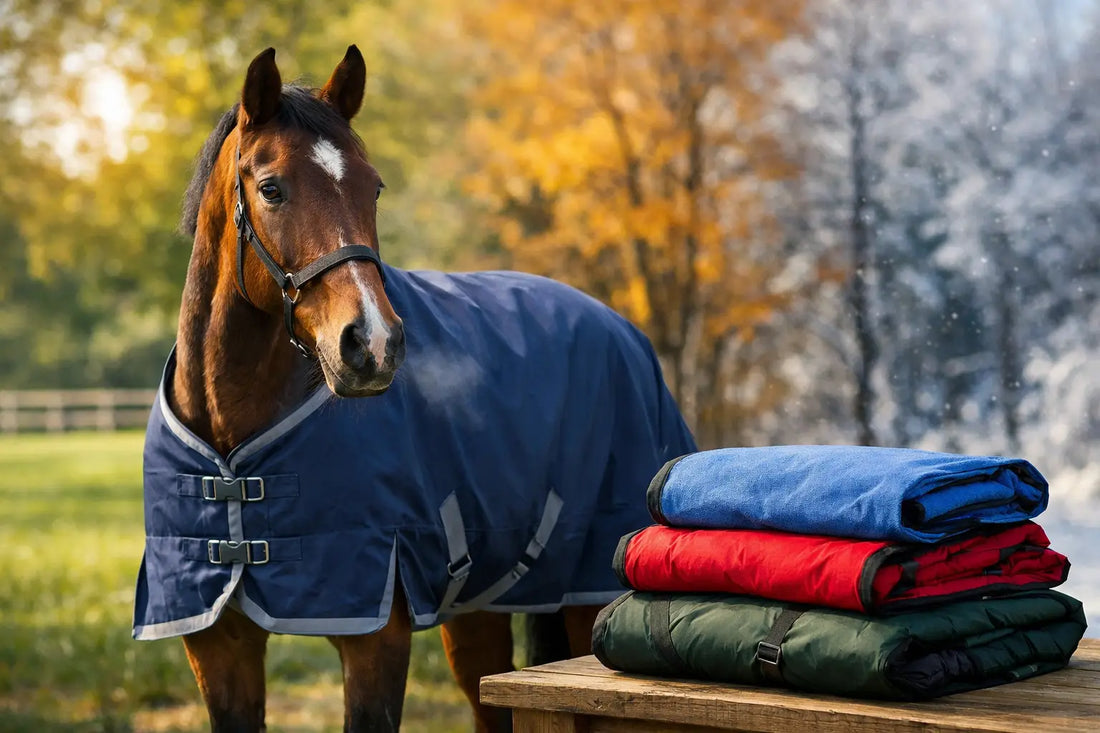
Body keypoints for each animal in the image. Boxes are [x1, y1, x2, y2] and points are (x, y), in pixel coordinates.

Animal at [133, 46, 695, 732]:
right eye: (270, 189)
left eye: (372, 186)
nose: (372, 344)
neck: (232, 438)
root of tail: (621, 330)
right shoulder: (217, 644)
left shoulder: (375, 635)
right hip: (480, 612)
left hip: (585, 596)